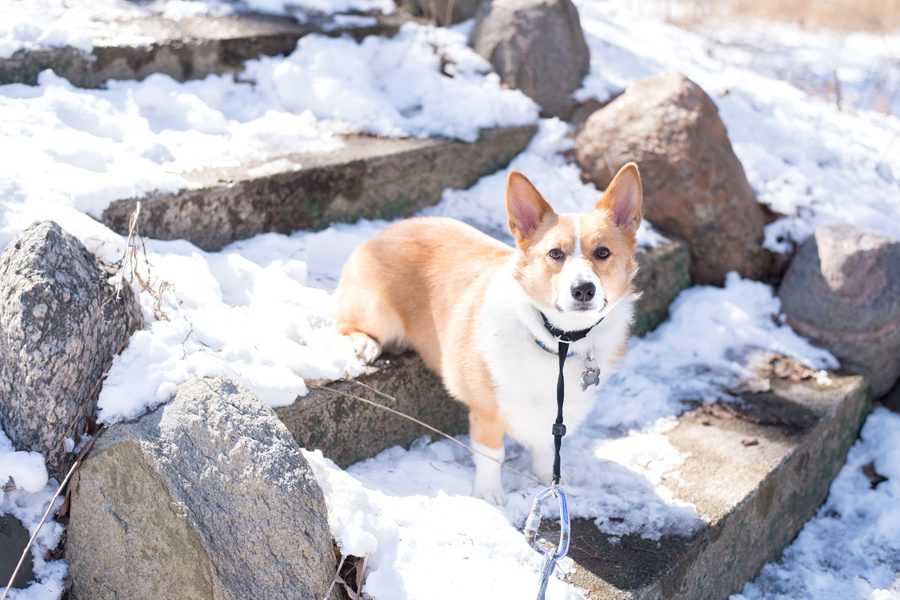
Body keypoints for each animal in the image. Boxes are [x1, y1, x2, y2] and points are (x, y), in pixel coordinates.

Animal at [336, 163, 640, 502]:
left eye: (602, 252)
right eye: (555, 254)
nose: (583, 289)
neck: (557, 339)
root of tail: (381, 234)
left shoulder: (553, 414)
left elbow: (547, 445)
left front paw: (548, 478)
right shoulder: (486, 411)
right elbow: (492, 454)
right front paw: (489, 494)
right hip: (378, 312)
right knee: (344, 322)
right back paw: (365, 343)